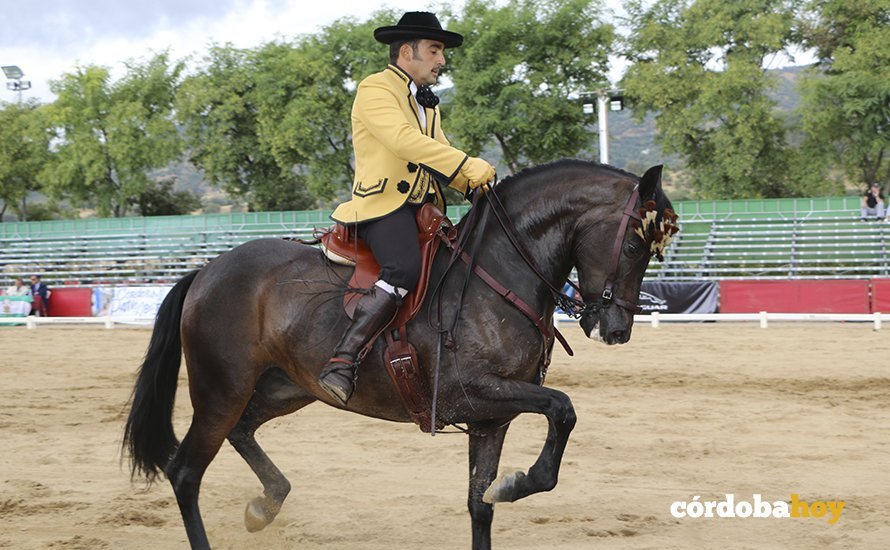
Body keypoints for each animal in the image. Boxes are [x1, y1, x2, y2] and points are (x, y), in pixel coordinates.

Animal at [123, 159, 676, 549]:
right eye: (633, 245)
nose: (616, 329)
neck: (497, 273)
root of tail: (206, 271)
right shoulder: (475, 392)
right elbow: (563, 409)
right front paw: (518, 482)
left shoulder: (491, 419)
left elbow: (480, 504)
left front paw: (504, 487)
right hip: (221, 391)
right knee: (186, 472)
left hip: (285, 388)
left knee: (242, 432)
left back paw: (266, 504)